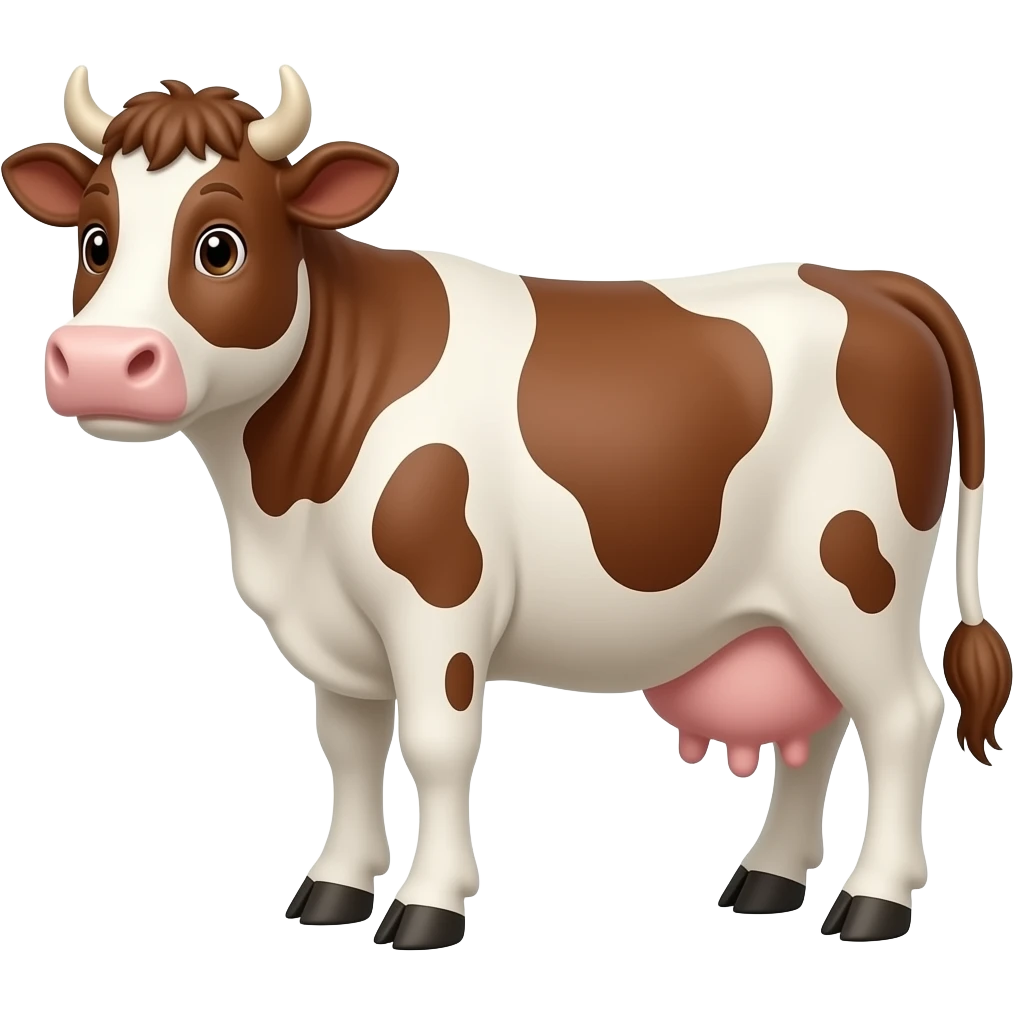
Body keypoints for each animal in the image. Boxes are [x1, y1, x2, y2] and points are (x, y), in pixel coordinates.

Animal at [4, 64, 1010, 950]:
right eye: (94, 240)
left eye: (220, 244)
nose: (101, 362)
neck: (283, 502)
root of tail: (866, 280)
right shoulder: (336, 627)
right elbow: (349, 748)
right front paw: (334, 889)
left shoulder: (439, 596)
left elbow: (438, 745)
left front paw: (427, 908)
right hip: (796, 605)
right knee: (826, 719)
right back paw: (770, 879)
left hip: (859, 576)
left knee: (902, 714)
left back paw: (874, 903)